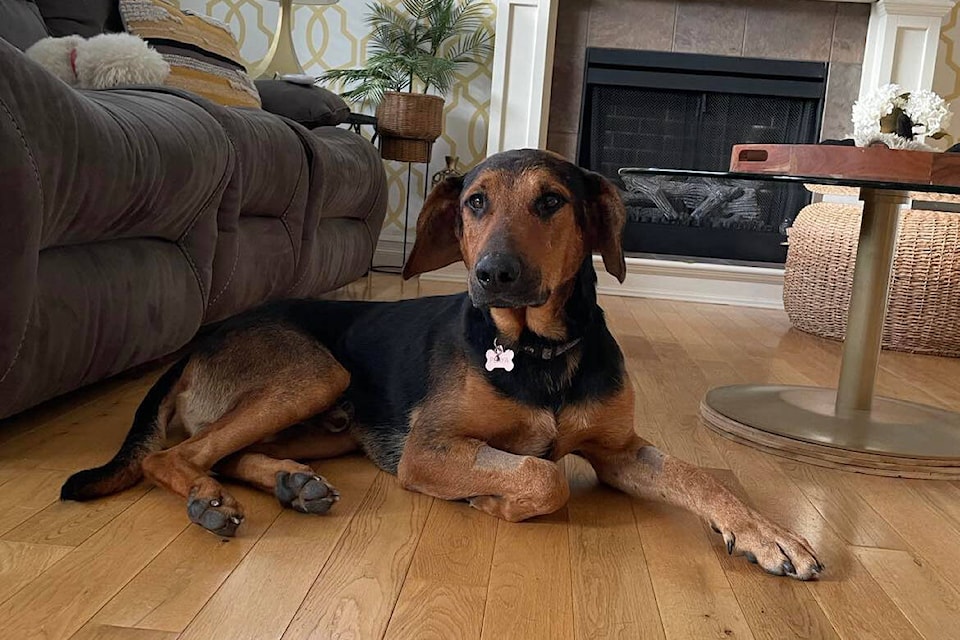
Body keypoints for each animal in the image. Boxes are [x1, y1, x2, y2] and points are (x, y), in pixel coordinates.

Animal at [63, 149, 820, 580]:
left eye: (552, 200)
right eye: (475, 202)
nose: (492, 276)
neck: (537, 350)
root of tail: (199, 342)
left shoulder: (620, 449)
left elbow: (701, 477)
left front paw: (770, 535)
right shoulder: (427, 450)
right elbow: (544, 475)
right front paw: (491, 496)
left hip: (330, 421)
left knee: (221, 452)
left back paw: (288, 482)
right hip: (316, 374)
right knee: (173, 456)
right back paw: (208, 500)